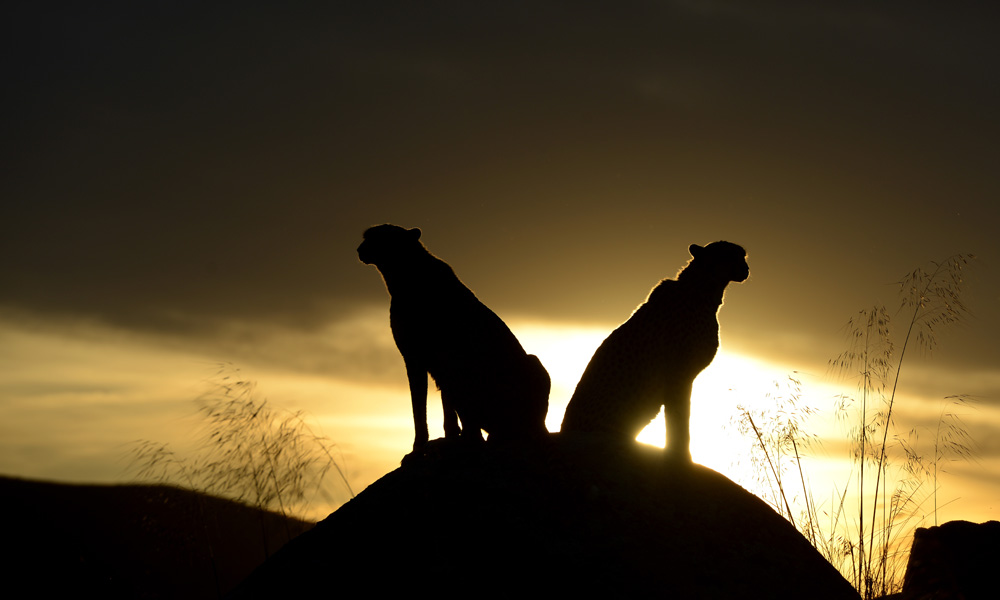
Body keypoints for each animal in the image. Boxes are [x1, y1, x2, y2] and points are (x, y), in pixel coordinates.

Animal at [358, 223, 552, 462]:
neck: (406, 278)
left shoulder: (443, 361)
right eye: (367, 236)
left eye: (380, 237)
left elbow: (439, 408)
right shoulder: (416, 360)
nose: (360, 249)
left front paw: (440, 444)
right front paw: (425, 446)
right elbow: (425, 408)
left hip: (531, 365)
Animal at [560, 241, 748, 462]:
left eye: (742, 256)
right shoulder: (679, 377)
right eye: (731, 254)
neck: (701, 290)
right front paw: (681, 455)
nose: (746, 268)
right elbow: (679, 417)